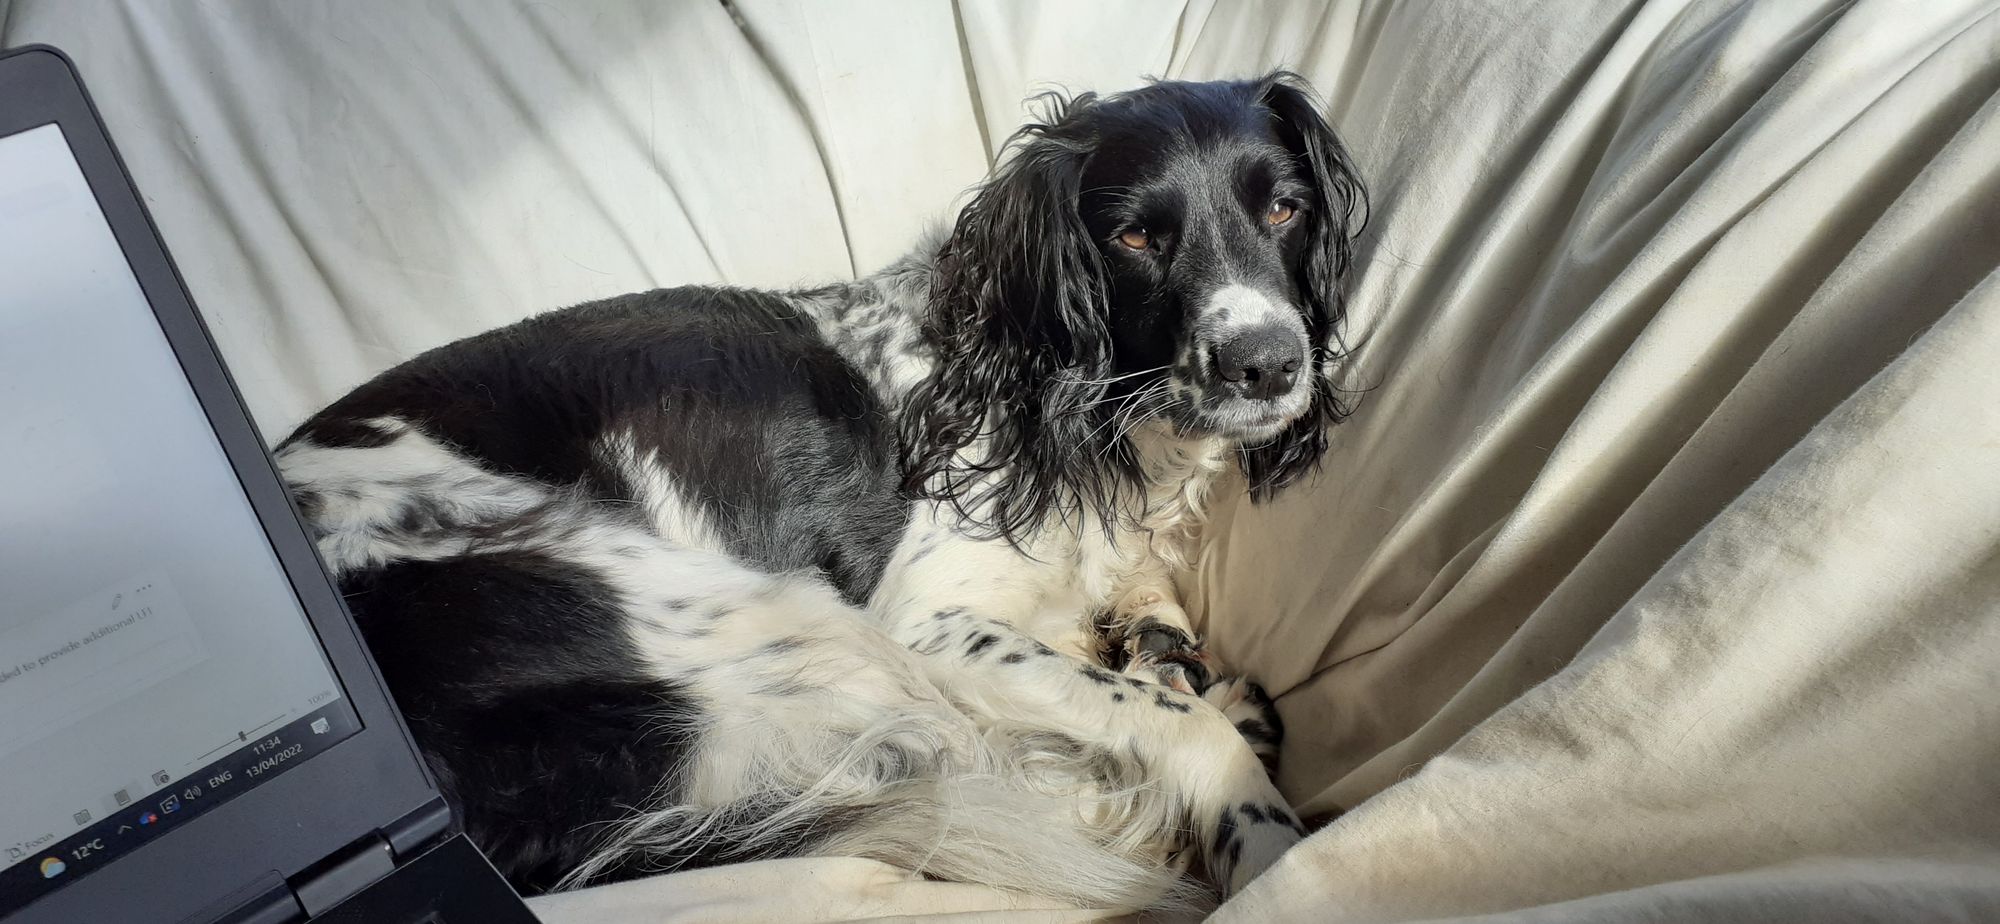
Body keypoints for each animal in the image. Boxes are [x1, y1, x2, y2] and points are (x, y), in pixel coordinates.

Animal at [276, 71, 1364, 909]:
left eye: (1285, 207)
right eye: (1136, 237)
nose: (1268, 364)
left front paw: (1160, 644)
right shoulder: (922, 623)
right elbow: (1160, 726)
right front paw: (1267, 835)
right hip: (769, 619)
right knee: (947, 770)